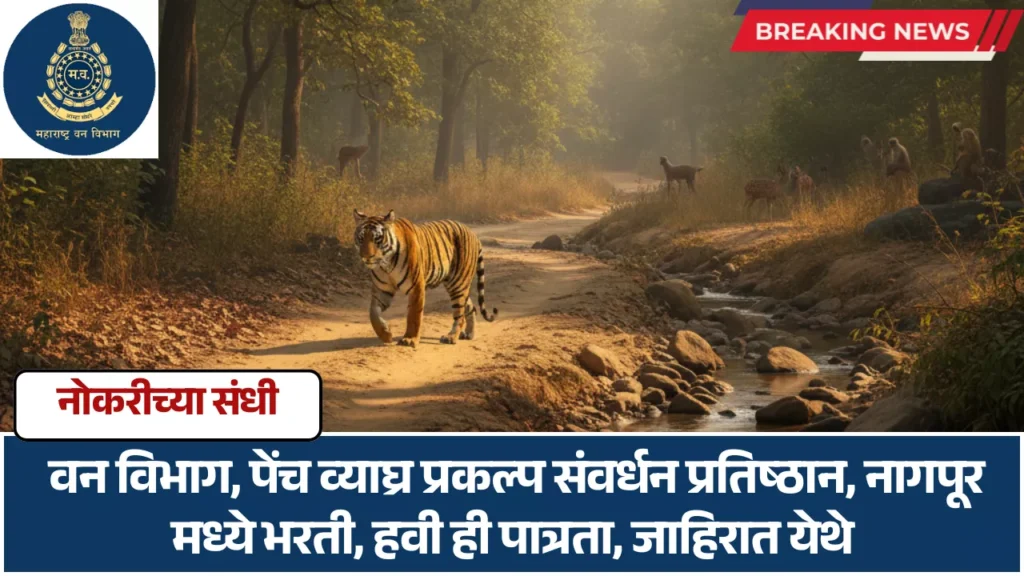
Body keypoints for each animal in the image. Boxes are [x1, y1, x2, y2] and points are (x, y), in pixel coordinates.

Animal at [353, 209, 498, 349]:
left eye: (377, 239)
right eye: (361, 238)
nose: (366, 257)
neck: (386, 265)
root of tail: (473, 234)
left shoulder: (416, 287)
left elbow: (414, 315)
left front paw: (409, 339)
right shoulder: (382, 290)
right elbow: (373, 313)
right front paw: (386, 335)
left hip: (458, 283)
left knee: (459, 315)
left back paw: (451, 337)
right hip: (455, 284)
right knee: (470, 308)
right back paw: (469, 334)